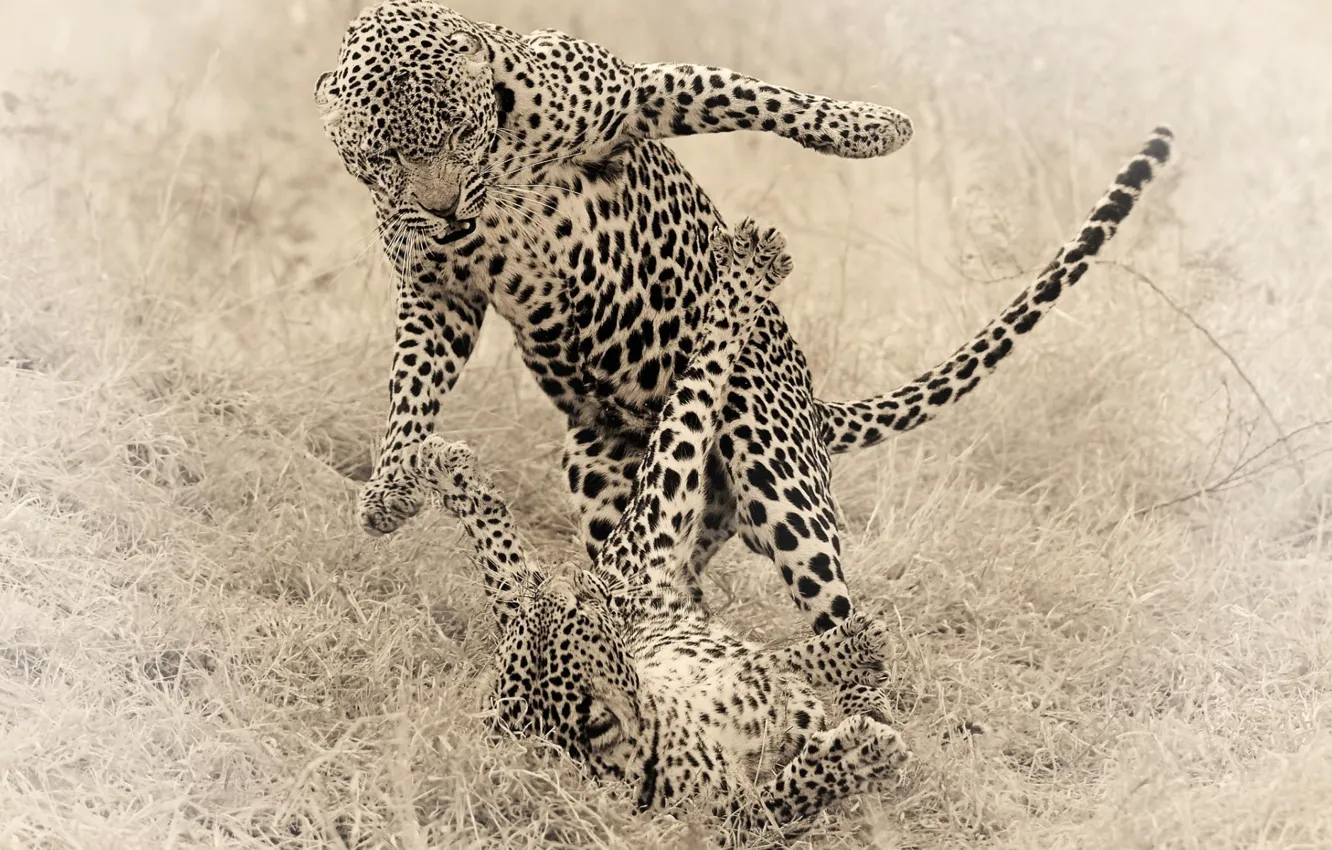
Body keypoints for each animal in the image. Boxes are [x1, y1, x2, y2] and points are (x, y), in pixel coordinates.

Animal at [314, 0, 1174, 664]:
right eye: (383, 155)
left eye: (459, 133)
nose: (446, 211)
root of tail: (814, 402)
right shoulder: (439, 294)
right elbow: (409, 390)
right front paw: (389, 491)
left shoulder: (624, 93)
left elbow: (747, 93)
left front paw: (876, 129)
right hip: (604, 467)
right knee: (667, 581)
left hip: (774, 473)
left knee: (837, 610)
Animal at [415, 219, 911, 833]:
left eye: (571, 617)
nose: (573, 589)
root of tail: (614, 574)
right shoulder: (728, 815)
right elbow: (778, 794)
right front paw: (858, 749)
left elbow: (773, 662)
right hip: (656, 514)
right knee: (695, 390)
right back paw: (749, 270)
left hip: (635, 546)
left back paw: (447, 469)